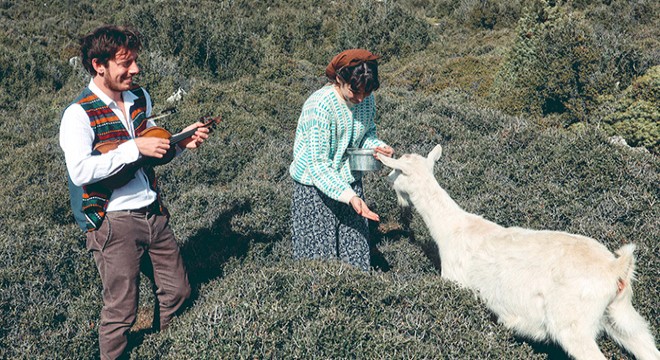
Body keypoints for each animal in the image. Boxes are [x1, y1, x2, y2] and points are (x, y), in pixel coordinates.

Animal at [378, 145, 656, 358]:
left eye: (396, 169)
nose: (387, 180)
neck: (453, 229)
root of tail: (616, 269)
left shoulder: (458, 283)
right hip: (619, 315)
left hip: (573, 323)